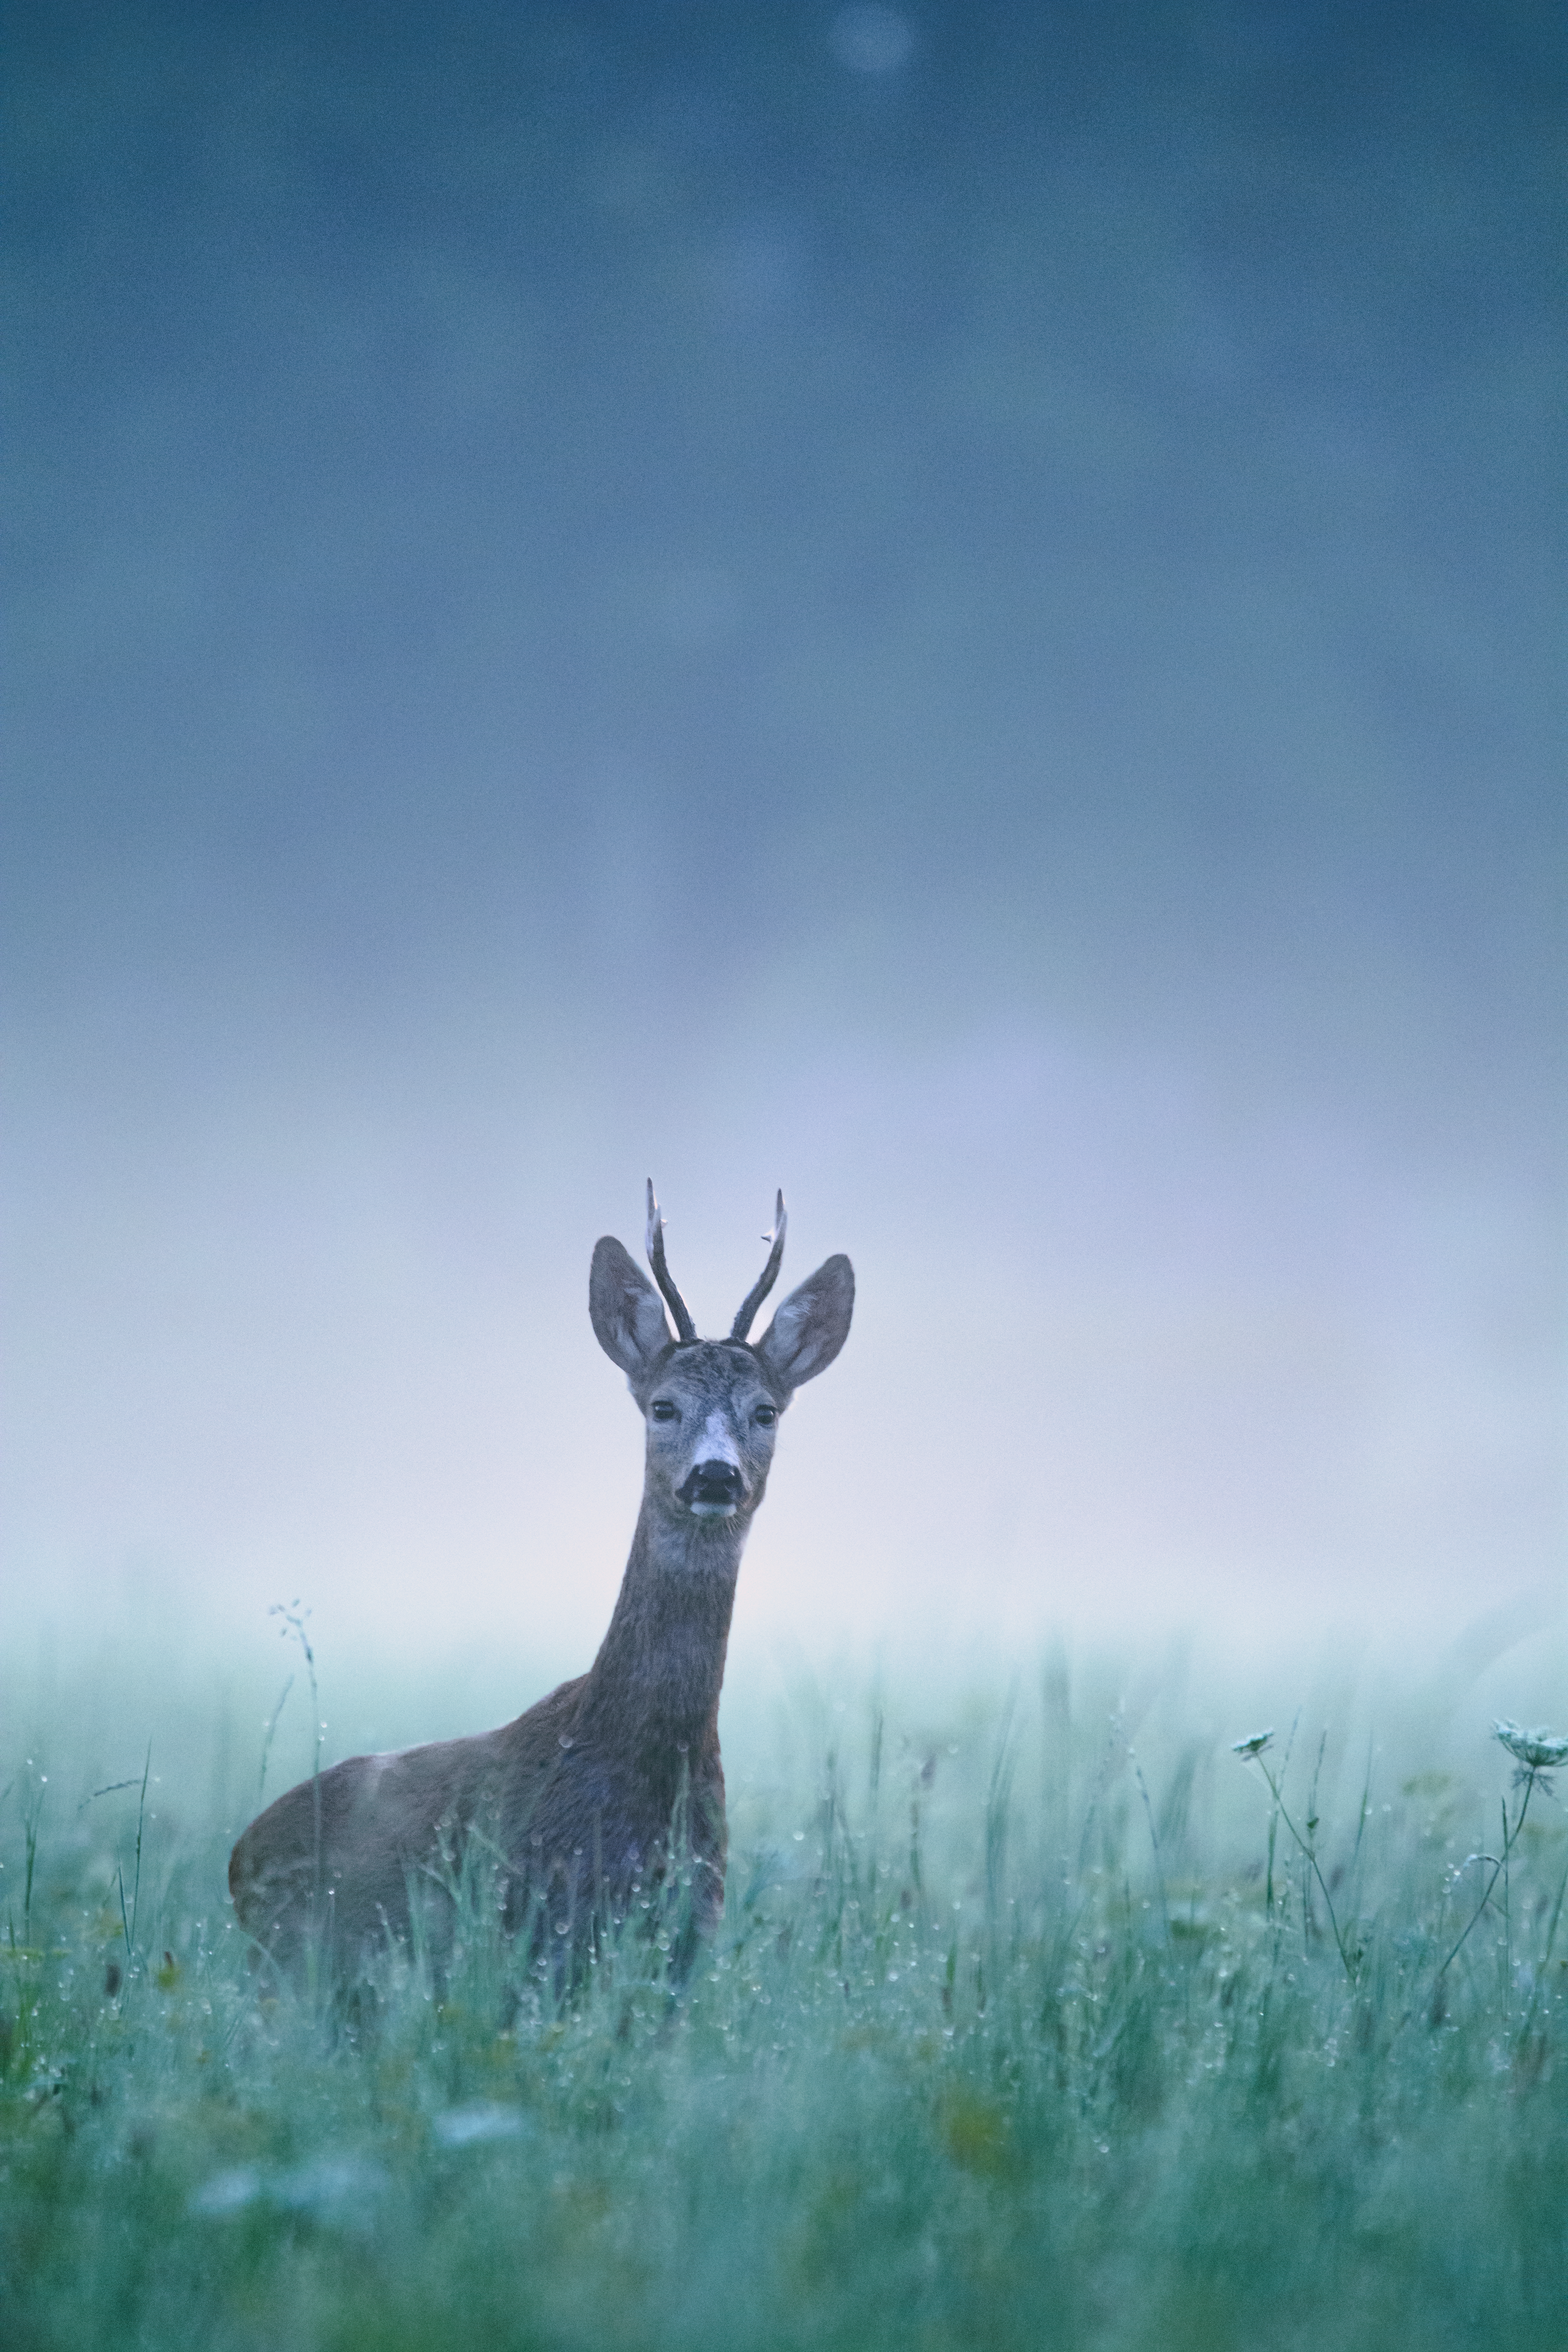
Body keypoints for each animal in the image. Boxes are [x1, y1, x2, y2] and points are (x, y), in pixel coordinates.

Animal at [228, 1183, 854, 1982]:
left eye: (766, 1411)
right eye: (664, 1406)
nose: (715, 1476)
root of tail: (238, 1856)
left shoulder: (688, 1936)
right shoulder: (536, 1927)